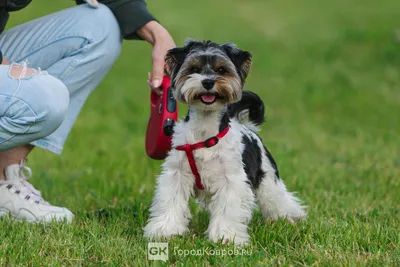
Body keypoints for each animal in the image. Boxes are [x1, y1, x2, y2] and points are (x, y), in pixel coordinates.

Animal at [144, 40, 306, 247]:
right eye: (194, 69)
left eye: (222, 70)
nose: (208, 82)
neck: (205, 133)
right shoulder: (176, 175)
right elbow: (170, 202)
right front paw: (165, 231)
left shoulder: (232, 181)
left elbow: (228, 210)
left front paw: (225, 237)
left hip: (268, 180)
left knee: (279, 200)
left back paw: (290, 218)